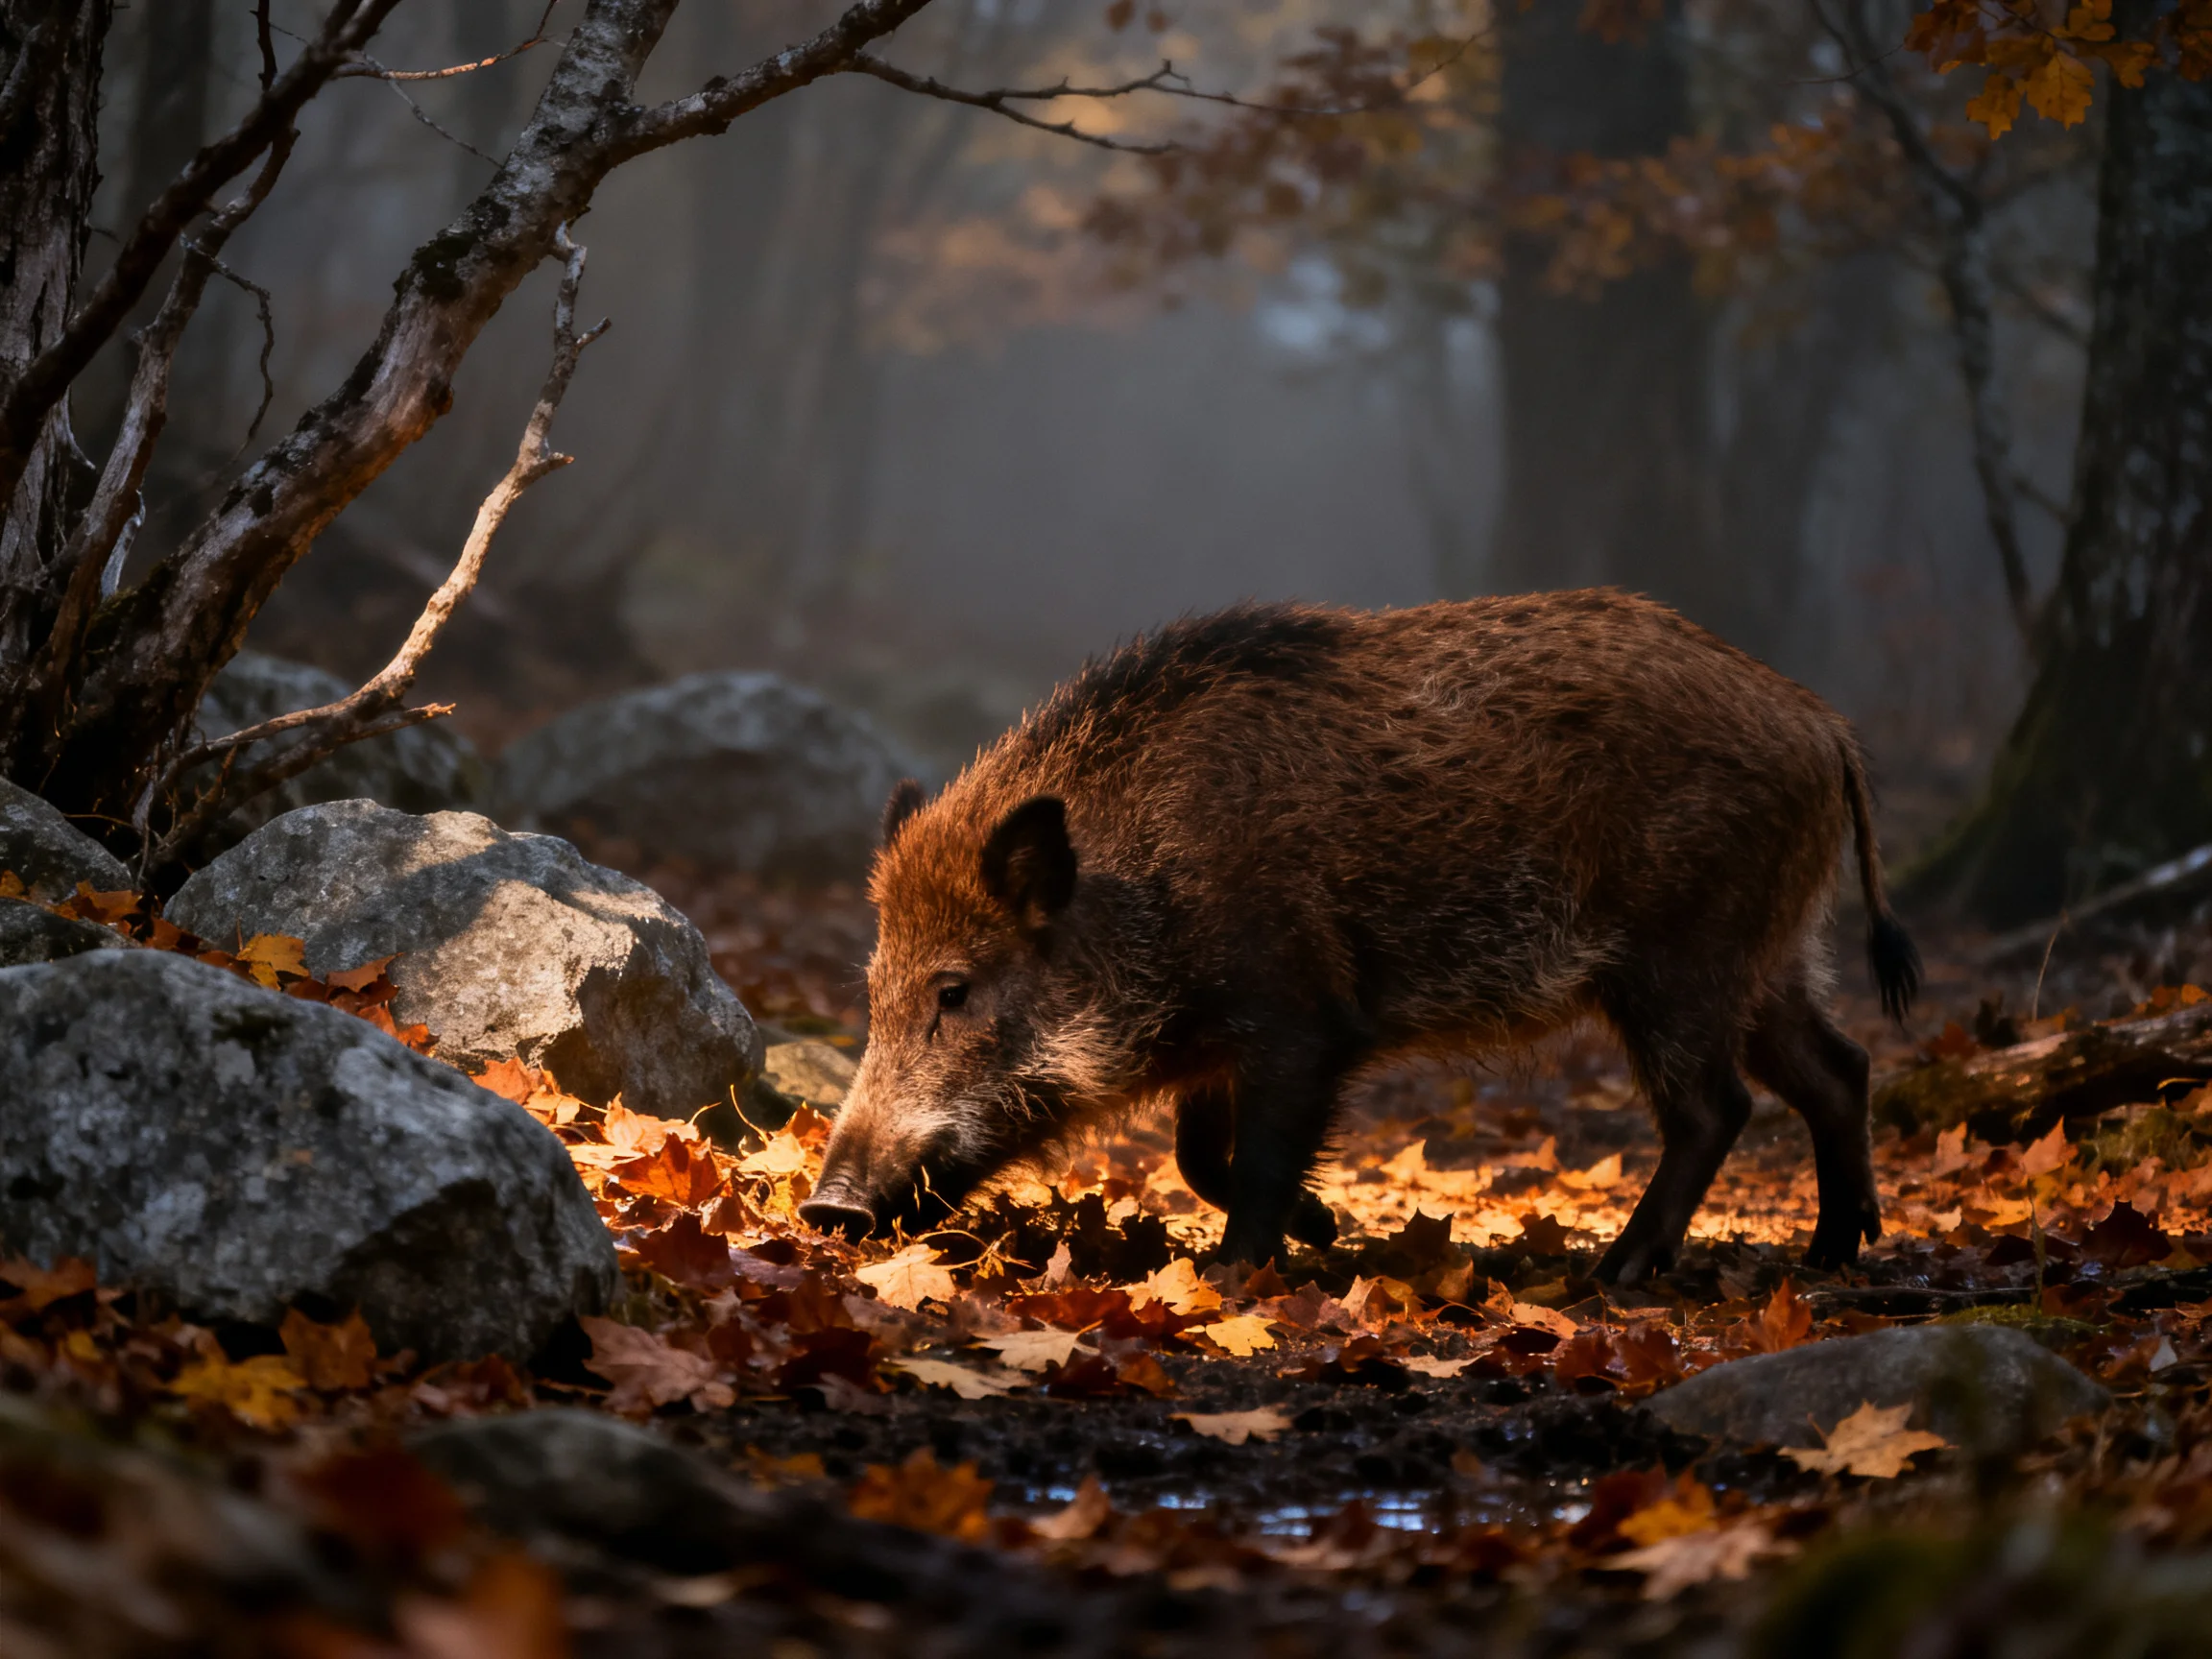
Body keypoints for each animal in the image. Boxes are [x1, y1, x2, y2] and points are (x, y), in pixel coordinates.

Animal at [800, 590, 1919, 1282]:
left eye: (954, 989)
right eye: (872, 991)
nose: (827, 1211)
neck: (1145, 886)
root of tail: (1822, 724)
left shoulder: (1301, 1014)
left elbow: (1255, 1156)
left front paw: (1234, 1272)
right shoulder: (1220, 1037)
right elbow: (1198, 1152)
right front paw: (1326, 1226)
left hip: (1681, 960)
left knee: (1714, 1107)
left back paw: (1618, 1273)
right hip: (1768, 957)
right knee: (1839, 1067)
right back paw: (1832, 1252)